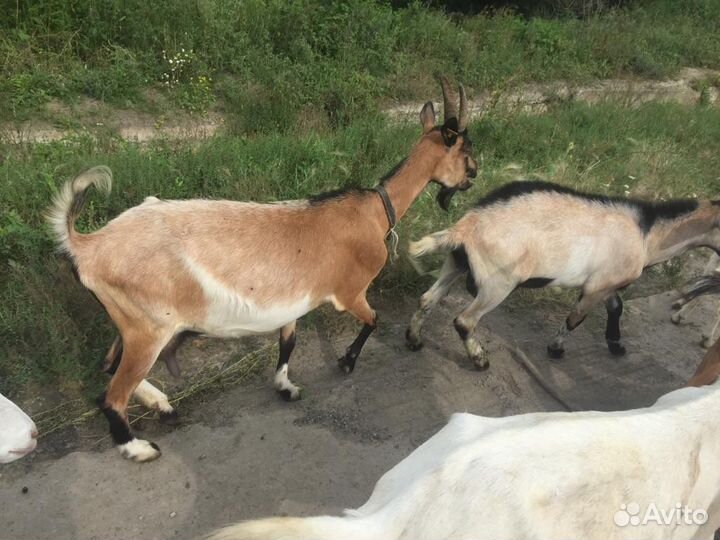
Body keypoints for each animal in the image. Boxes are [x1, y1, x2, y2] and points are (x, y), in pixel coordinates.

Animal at [46, 78, 478, 462]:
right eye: (465, 149)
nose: (473, 176)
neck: (374, 210)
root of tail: (87, 245)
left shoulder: (293, 302)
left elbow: (288, 342)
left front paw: (285, 386)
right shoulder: (350, 292)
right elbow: (373, 320)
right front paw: (345, 362)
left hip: (131, 322)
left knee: (108, 366)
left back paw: (163, 404)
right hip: (148, 327)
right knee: (111, 395)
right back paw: (138, 448)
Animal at [405, 180, 720, 369]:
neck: (646, 234)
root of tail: (465, 227)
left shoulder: (607, 283)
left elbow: (616, 308)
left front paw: (616, 345)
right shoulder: (596, 287)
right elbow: (575, 318)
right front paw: (555, 348)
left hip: (455, 264)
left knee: (427, 299)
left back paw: (414, 340)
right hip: (498, 283)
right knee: (465, 320)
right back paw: (480, 359)